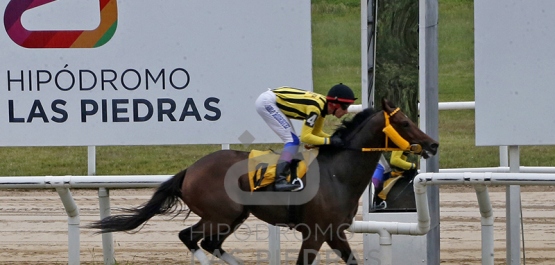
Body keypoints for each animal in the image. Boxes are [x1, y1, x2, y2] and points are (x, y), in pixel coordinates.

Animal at [88, 98, 438, 262]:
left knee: (208, 243)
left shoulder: (335, 232)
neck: (338, 174)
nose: (433, 144)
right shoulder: (315, 233)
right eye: (405, 123)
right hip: (220, 214)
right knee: (190, 237)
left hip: (233, 216)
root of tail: (190, 169)